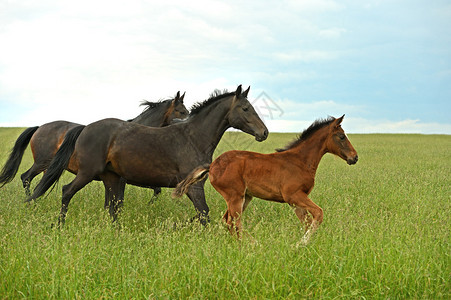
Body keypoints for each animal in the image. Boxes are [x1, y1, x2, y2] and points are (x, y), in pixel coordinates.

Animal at [0, 91, 188, 198]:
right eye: (181, 111)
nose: (187, 122)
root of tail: (39, 127)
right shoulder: (123, 179)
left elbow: (155, 190)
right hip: (41, 162)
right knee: (25, 177)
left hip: (49, 166)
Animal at [30, 84, 270, 225]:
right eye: (246, 108)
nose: (264, 132)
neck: (193, 137)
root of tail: (85, 128)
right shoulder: (194, 186)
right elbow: (204, 213)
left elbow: (201, 213)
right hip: (87, 173)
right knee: (66, 191)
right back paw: (59, 225)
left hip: (110, 177)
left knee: (112, 208)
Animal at [175, 116, 358, 245]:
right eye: (342, 136)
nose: (354, 157)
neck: (300, 161)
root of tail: (212, 165)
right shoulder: (294, 196)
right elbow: (319, 214)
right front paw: (301, 244)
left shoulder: (296, 201)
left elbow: (307, 222)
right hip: (235, 197)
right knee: (235, 221)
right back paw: (253, 244)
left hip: (244, 197)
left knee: (228, 220)